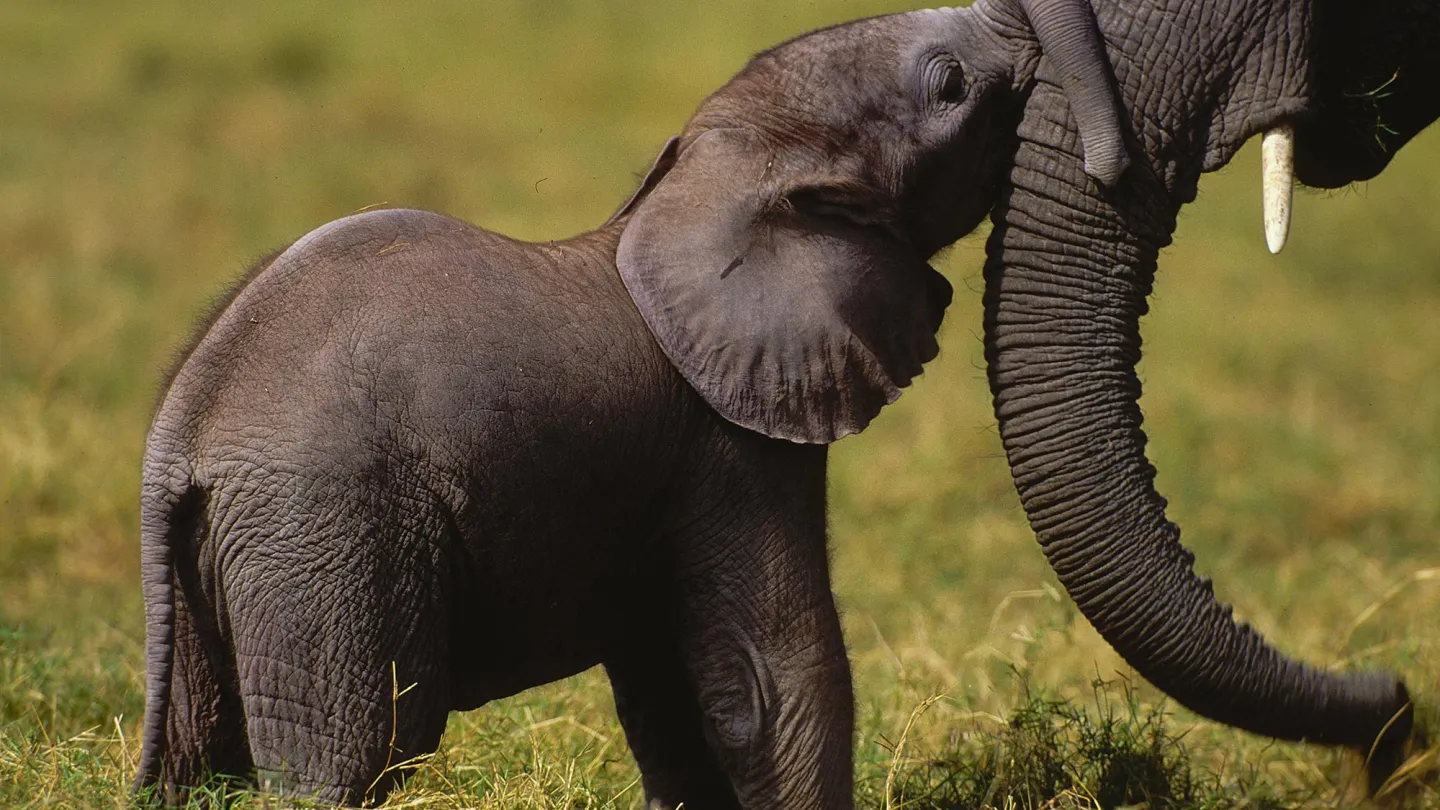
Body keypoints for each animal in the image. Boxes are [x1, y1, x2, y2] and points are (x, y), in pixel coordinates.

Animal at [134, 2, 1136, 808]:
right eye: (950, 85)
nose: (1107, 155)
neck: (702, 179)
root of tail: (181, 435)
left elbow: (670, 694)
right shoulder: (728, 444)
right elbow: (773, 679)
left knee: (195, 756)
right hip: (326, 534)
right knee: (354, 754)